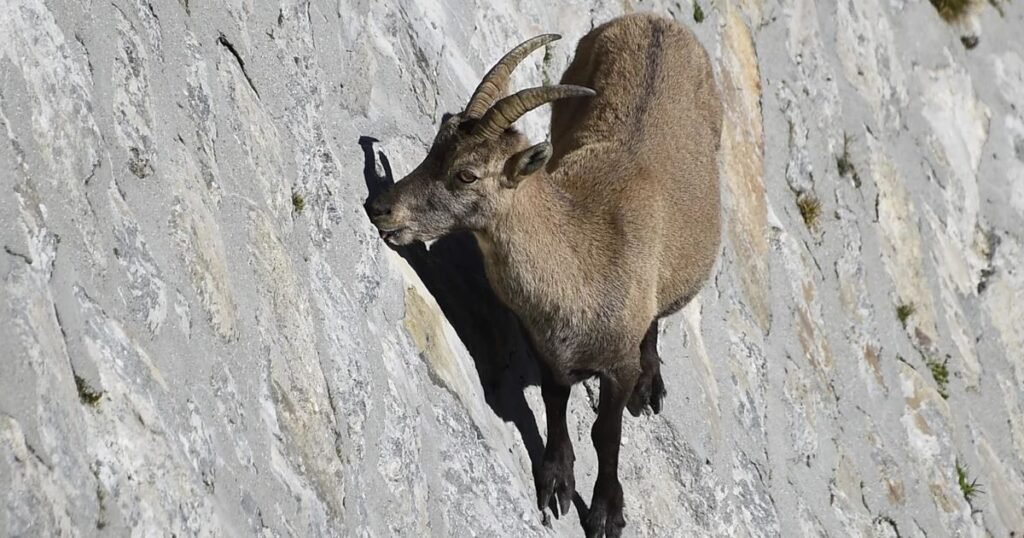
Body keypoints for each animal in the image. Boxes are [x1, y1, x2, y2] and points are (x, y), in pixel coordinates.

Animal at [368, 12, 722, 538]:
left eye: (467, 174)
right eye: (436, 144)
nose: (381, 208)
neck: (582, 258)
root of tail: (655, 20)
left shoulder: (615, 362)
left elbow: (606, 433)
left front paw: (606, 511)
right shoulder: (547, 347)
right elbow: (555, 402)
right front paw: (556, 480)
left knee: (657, 318)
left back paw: (651, 383)